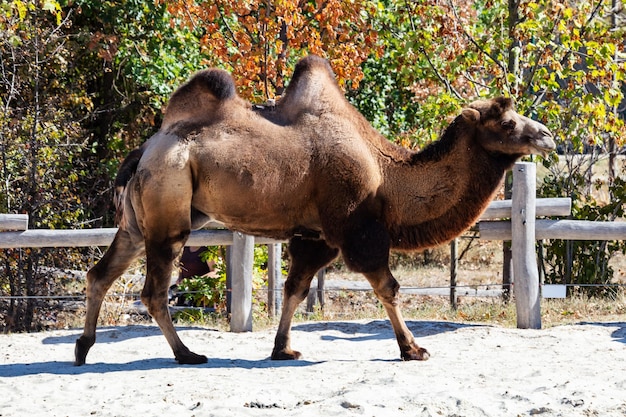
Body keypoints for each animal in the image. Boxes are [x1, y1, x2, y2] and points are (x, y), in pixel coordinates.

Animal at [74, 55, 556, 364]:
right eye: (507, 122)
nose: (547, 136)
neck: (386, 175)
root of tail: (145, 149)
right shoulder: (357, 229)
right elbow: (389, 287)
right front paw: (413, 349)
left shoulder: (316, 236)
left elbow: (295, 289)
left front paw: (282, 348)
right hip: (169, 205)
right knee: (154, 290)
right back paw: (186, 354)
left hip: (140, 219)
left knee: (101, 272)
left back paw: (83, 348)